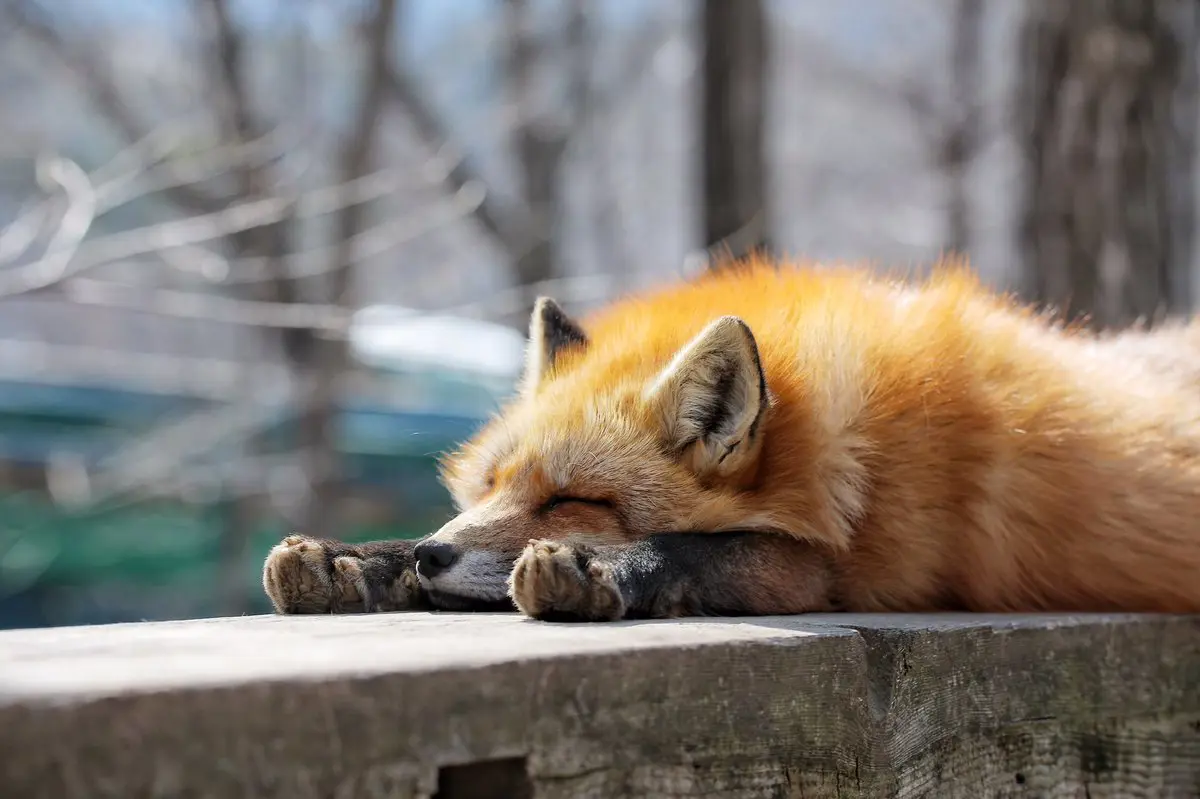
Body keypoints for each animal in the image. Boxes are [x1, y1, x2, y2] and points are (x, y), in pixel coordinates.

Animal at [263, 256, 1200, 622]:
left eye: (574, 500)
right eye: (489, 487)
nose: (432, 555)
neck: (845, 454)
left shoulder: (858, 569)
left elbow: (698, 550)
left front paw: (599, 569)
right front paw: (358, 560)